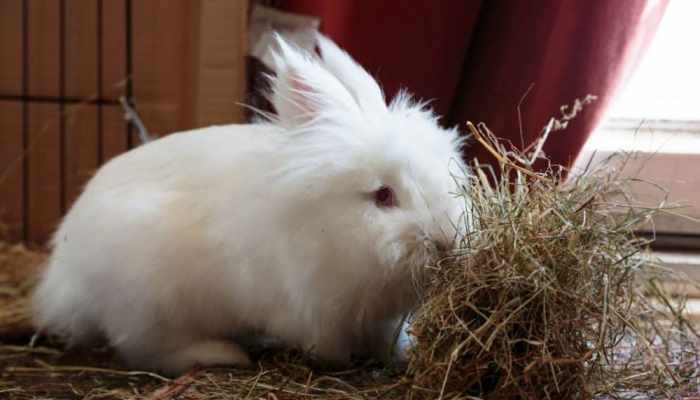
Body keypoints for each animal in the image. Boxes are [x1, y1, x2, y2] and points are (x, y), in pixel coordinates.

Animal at [34, 33, 470, 376]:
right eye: (383, 195)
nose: (446, 242)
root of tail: (64, 273)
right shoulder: (316, 308)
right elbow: (329, 347)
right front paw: (341, 361)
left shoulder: (382, 316)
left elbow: (388, 340)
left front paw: (402, 355)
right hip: (150, 304)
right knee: (148, 350)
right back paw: (225, 354)